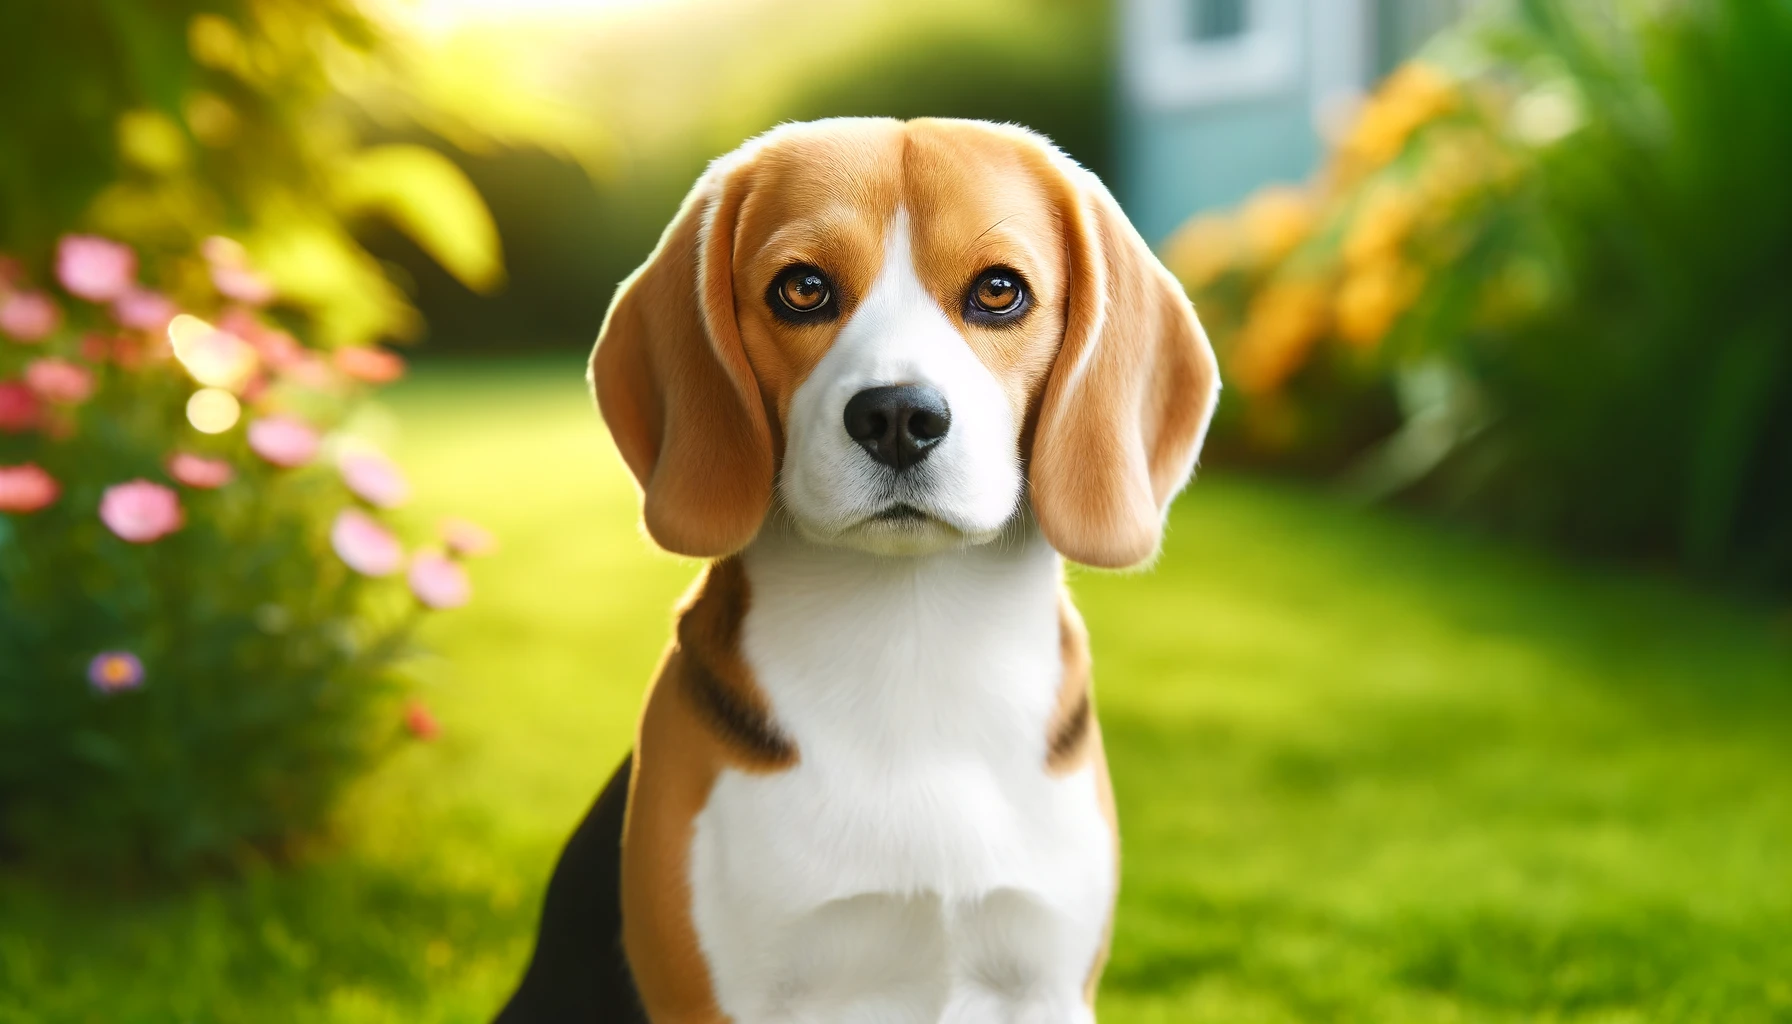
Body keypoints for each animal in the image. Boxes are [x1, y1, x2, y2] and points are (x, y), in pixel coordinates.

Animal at [498, 116, 1211, 1018]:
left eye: (999, 291)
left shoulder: (1046, 984)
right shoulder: (718, 1000)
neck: (910, 641)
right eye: (802, 289)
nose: (899, 415)